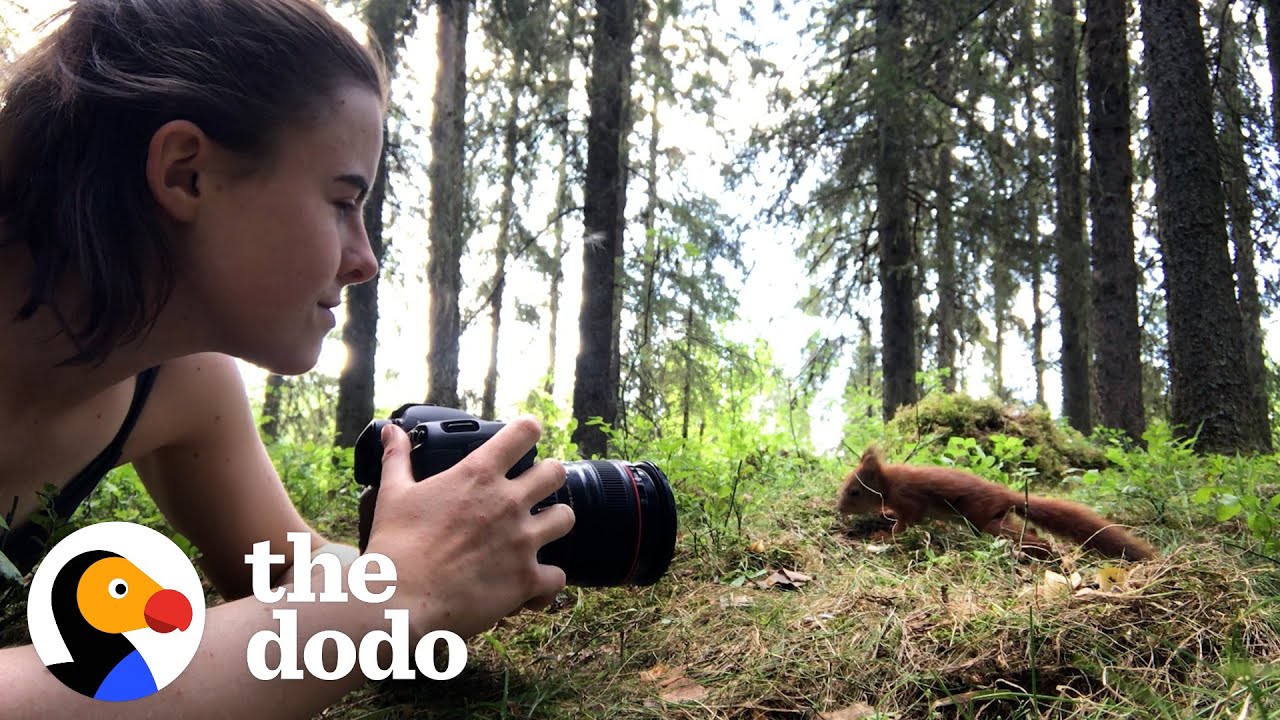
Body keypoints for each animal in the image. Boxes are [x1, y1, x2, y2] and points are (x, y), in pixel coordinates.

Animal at [839, 443, 1162, 561]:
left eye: (854, 492)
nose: (838, 509)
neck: (889, 483)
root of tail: (1007, 495)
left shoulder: (910, 498)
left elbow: (907, 522)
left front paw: (884, 535)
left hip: (986, 519)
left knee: (1028, 535)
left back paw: (1041, 552)